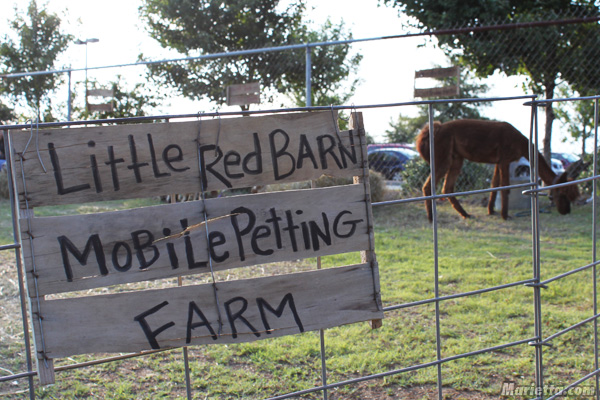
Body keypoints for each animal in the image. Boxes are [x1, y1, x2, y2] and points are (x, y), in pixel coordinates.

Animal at [418, 119, 580, 220]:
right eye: (563, 194)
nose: (566, 211)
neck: (521, 144)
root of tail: (436, 128)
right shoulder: (505, 159)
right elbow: (505, 187)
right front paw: (505, 216)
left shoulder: (498, 161)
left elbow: (494, 185)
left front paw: (491, 211)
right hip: (443, 155)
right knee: (428, 186)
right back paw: (431, 218)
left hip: (457, 157)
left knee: (447, 187)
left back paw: (466, 214)